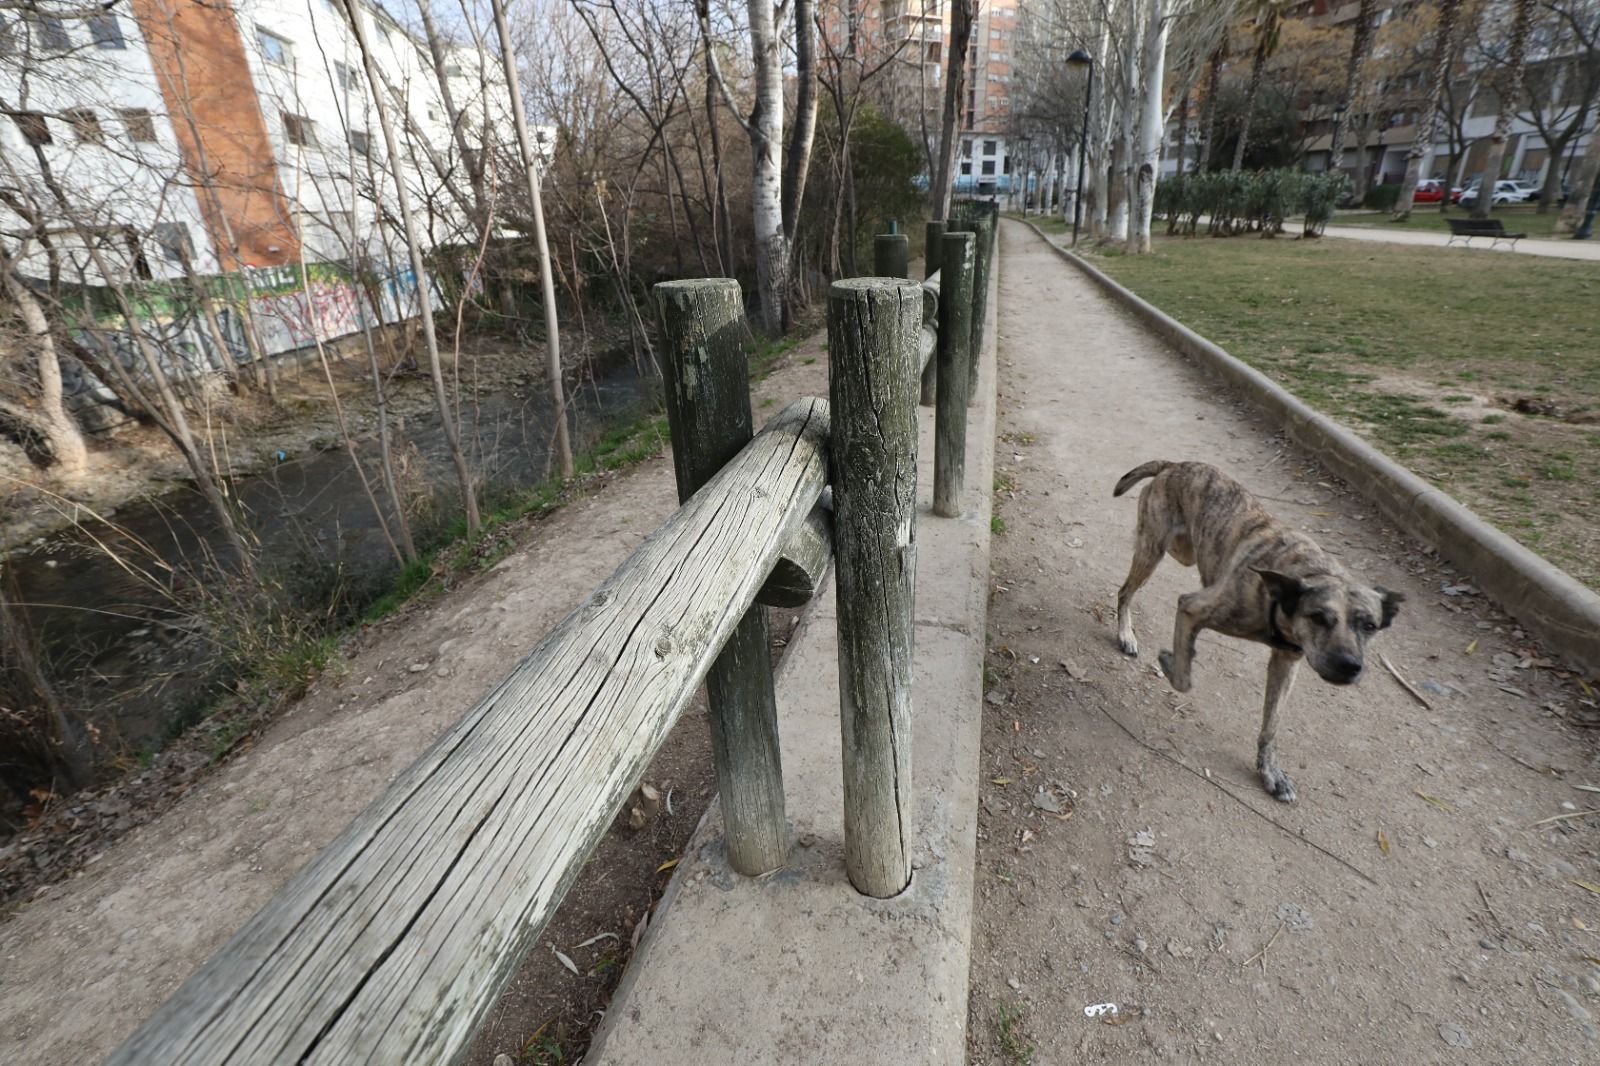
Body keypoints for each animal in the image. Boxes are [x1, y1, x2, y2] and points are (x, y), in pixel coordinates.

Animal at [1113, 457, 1401, 797]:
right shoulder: (1191, 607)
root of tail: (1176, 464)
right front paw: (1171, 661)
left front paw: (1270, 771)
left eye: (1370, 625)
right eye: (1318, 617)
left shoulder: (1285, 664)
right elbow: (1183, 679)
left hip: (1182, 552)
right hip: (1154, 549)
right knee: (1125, 591)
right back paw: (1125, 633)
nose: (1349, 666)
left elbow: (1271, 725)